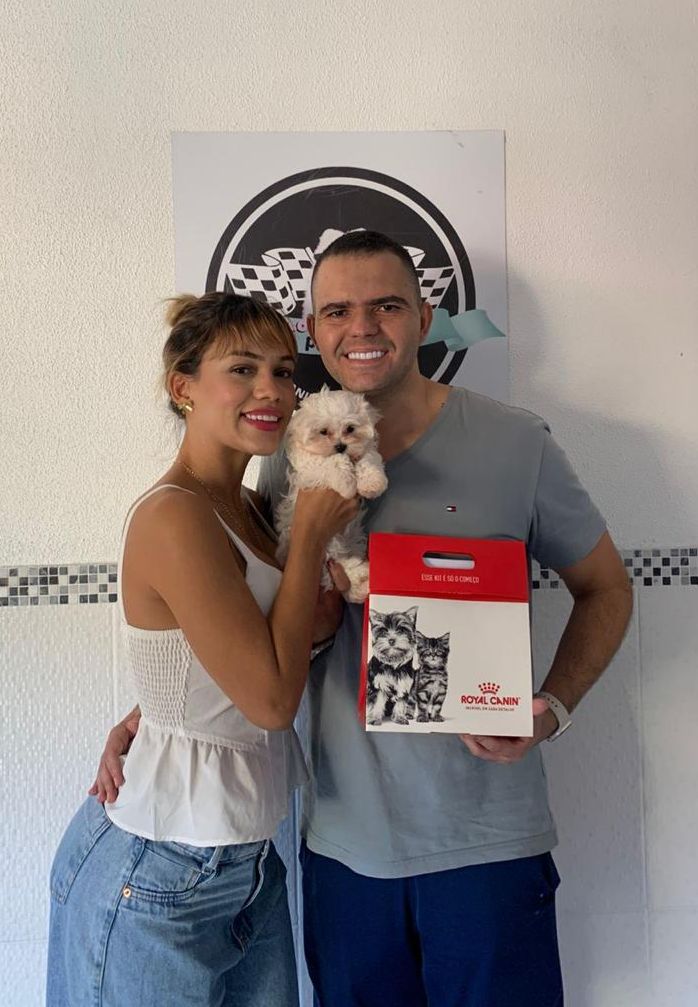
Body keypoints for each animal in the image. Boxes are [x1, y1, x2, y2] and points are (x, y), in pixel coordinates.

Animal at [275, 389, 388, 603]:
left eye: (350, 429)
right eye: (323, 432)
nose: (341, 446)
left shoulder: (365, 451)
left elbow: (368, 459)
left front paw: (373, 483)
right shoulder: (310, 466)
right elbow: (332, 462)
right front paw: (347, 484)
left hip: (354, 539)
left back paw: (362, 582)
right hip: (326, 547)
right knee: (335, 563)